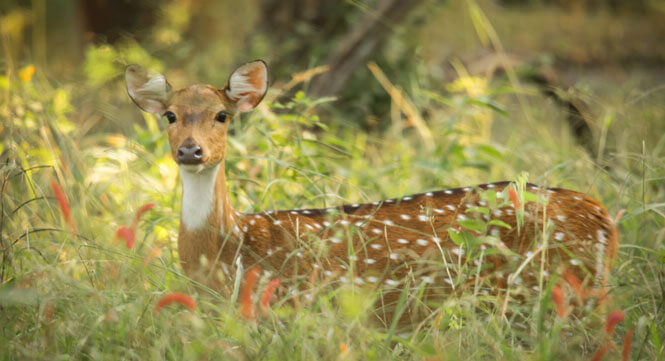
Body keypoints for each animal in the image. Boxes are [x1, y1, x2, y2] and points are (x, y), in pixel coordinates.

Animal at [127, 60, 620, 308]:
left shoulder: (301, 303)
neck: (229, 252)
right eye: (169, 115)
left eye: (222, 115)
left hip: (560, 285)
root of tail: (604, 218)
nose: (190, 150)